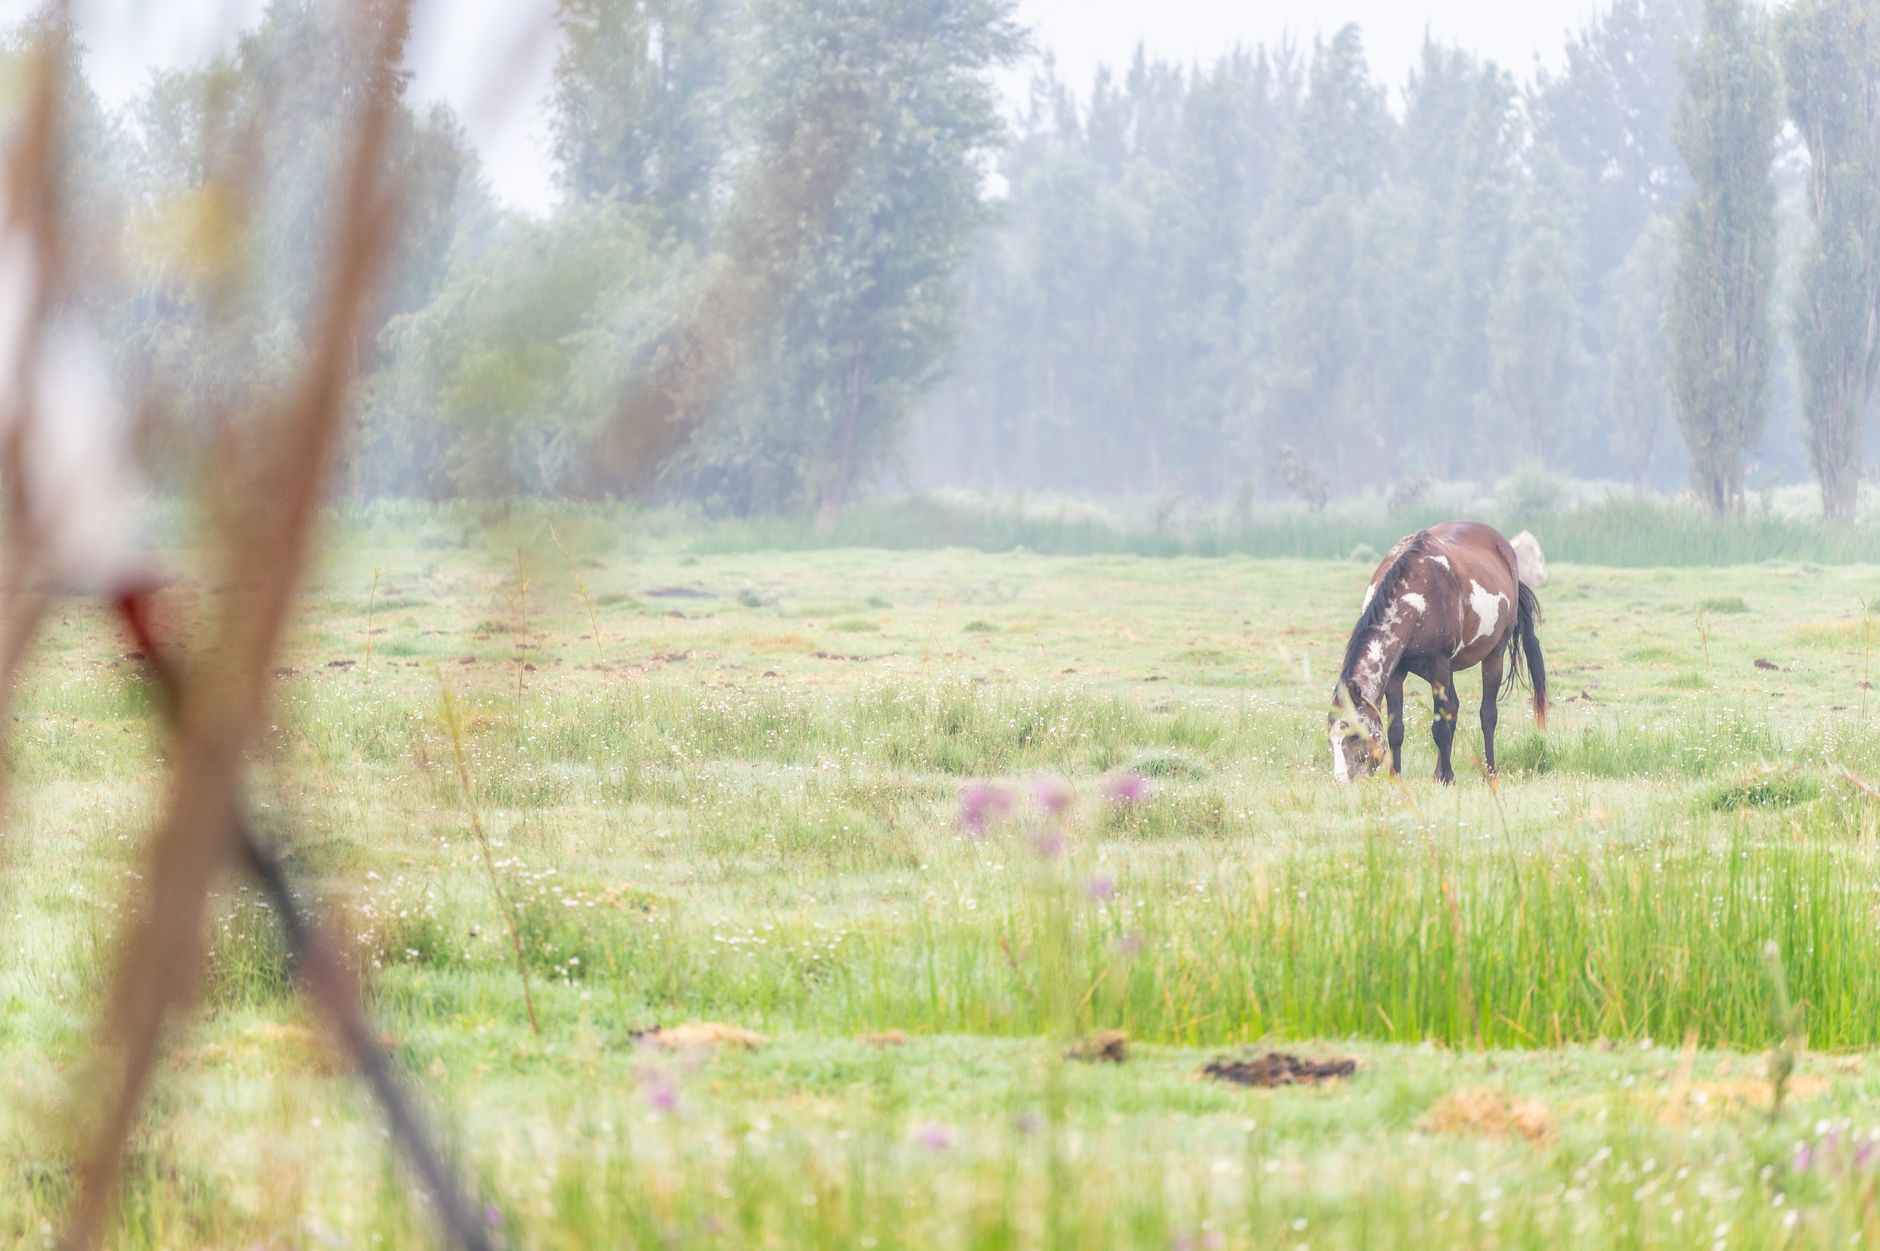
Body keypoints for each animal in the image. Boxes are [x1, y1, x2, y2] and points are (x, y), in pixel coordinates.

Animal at [1328, 521, 1547, 783]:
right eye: (1331, 740)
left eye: (1353, 736)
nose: (1342, 781)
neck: (1416, 599)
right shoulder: (1396, 674)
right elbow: (1396, 729)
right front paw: (1397, 776)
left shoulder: (1438, 665)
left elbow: (1440, 727)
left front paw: (1448, 778)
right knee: (1454, 708)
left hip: (1494, 652)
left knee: (1487, 714)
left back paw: (1490, 773)